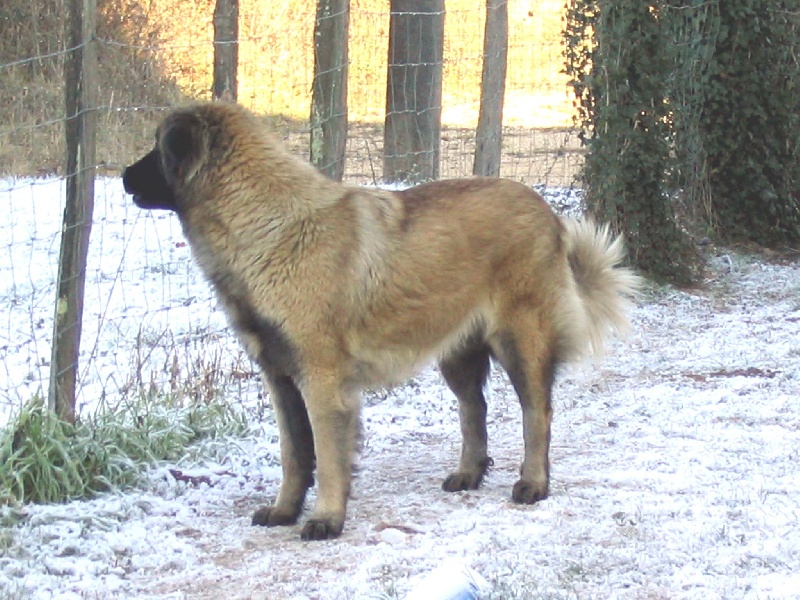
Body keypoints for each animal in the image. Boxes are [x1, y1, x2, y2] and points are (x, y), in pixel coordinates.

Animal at [122, 103, 640, 544]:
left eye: (158, 149)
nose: (124, 176)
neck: (271, 226)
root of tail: (546, 210)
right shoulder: (281, 378)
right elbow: (294, 454)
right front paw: (285, 510)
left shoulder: (322, 380)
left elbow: (328, 458)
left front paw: (326, 518)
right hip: (457, 350)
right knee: (475, 409)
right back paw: (469, 473)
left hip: (521, 341)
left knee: (537, 413)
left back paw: (533, 483)